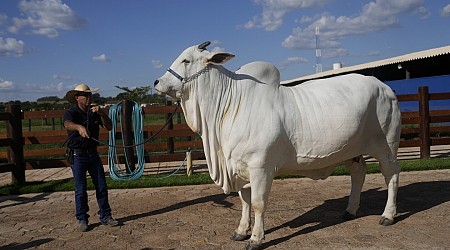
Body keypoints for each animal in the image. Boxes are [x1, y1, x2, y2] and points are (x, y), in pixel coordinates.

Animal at [155, 42, 400, 249]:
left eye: (186, 60)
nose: (157, 82)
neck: (229, 106)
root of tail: (385, 87)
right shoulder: (240, 168)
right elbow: (244, 201)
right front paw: (241, 231)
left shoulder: (260, 168)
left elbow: (257, 203)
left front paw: (255, 238)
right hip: (353, 152)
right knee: (359, 174)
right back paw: (350, 210)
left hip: (386, 147)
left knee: (391, 176)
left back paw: (388, 215)